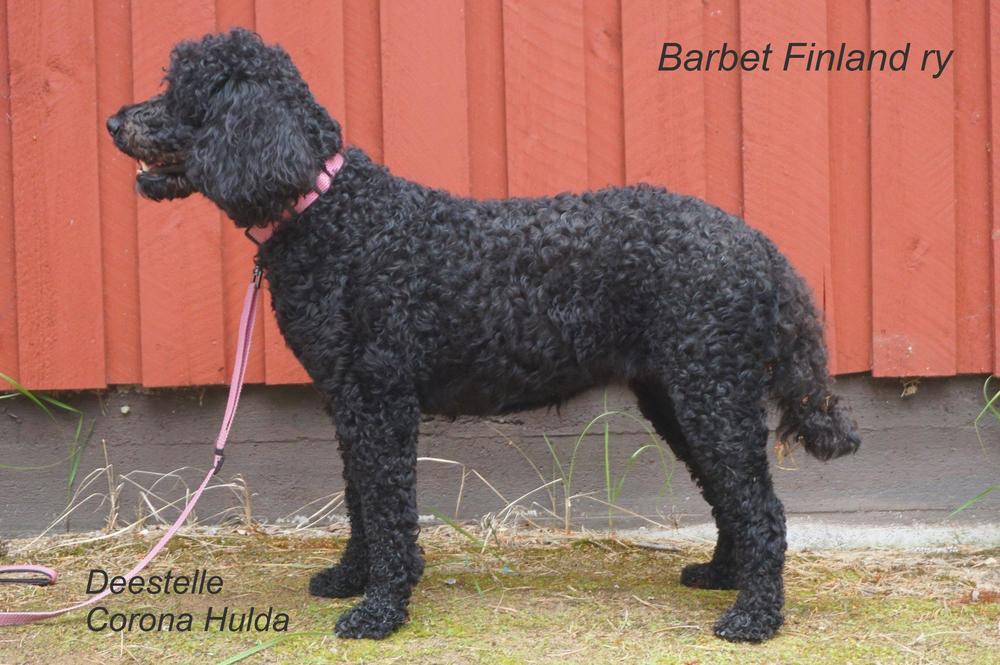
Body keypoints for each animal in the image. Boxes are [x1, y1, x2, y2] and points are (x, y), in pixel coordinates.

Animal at [107, 28, 860, 642]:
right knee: (732, 495)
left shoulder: (380, 401)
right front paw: (351, 579)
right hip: (682, 396)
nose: (114, 120)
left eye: (179, 93)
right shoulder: (350, 402)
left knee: (763, 507)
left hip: (712, 393)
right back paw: (722, 575)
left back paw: (753, 617)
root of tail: (757, 244)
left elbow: (387, 506)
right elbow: (359, 498)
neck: (335, 216)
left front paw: (380, 609)